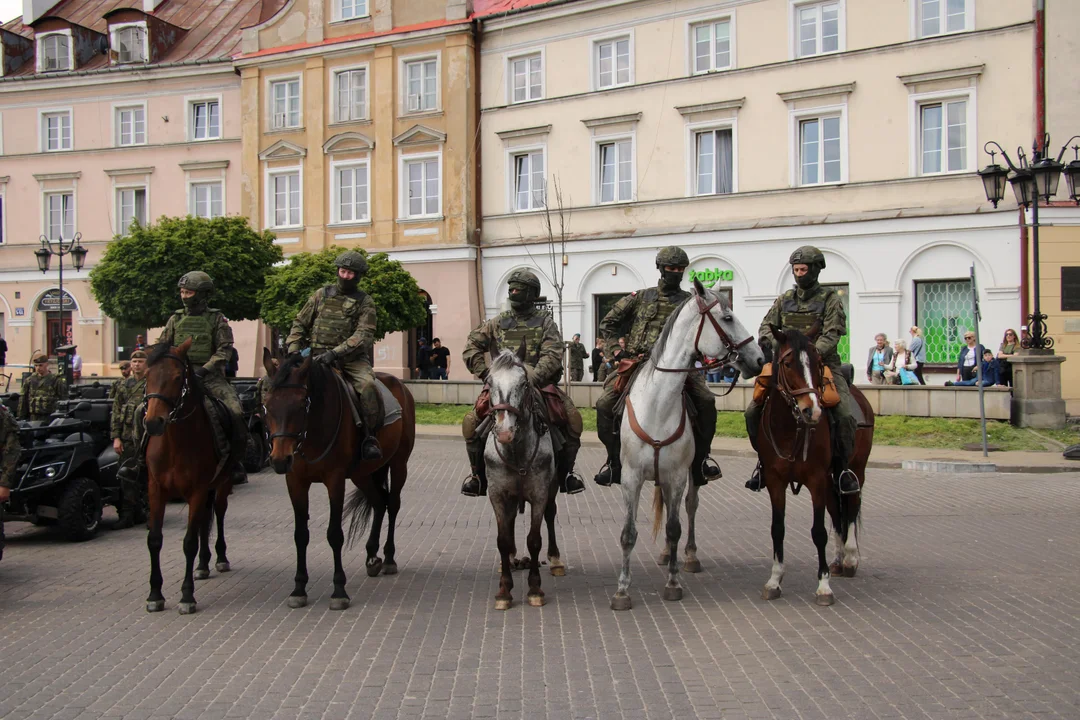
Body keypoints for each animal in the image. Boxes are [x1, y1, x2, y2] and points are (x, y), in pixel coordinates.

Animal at [143, 338, 234, 613]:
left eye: (176, 377)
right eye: (146, 375)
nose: (154, 422)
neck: (175, 443)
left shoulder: (197, 490)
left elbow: (189, 542)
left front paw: (186, 596)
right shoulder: (155, 489)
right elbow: (155, 539)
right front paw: (155, 594)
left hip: (222, 485)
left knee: (219, 515)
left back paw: (219, 557)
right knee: (205, 520)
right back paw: (203, 565)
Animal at [260, 349, 412, 608]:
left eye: (301, 404)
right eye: (267, 404)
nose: (280, 460)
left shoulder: (335, 480)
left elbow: (334, 534)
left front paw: (339, 590)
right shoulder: (296, 482)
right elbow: (300, 534)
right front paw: (299, 588)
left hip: (398, 463)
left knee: (392, 504)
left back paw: (389, 557)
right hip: (362, 473)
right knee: (378, 502)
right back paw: (372, 556)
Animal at [613, 278, 764, 613]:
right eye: (728, 318)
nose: (760, 359)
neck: (658, 403)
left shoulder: (678, 476)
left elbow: (674, 528)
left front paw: (673, 583)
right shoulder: (630, 478)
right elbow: (628, 533)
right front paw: (622, 590)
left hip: (691, 475)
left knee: (689, 509)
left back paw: (689, 556)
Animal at [756, 330, 872, 604]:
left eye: (818, 363)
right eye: (788, 364)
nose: (812, 410)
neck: (792, 429)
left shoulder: (817, 480)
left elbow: (818, 531)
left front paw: (823, 585)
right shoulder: (775, 482)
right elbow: (777, 529)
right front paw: (774, 580)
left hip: (856, 471)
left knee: (851, 507)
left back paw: (850, 558)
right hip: (831, 481)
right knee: (837, 512)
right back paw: (838, 560)